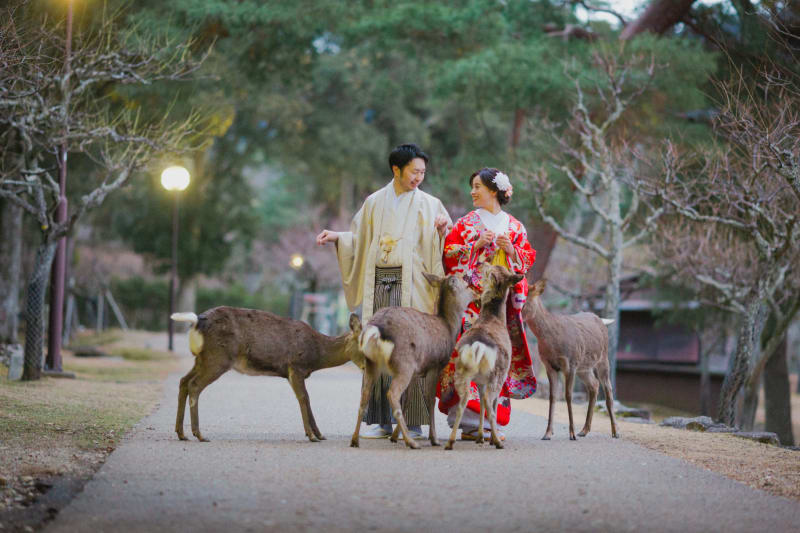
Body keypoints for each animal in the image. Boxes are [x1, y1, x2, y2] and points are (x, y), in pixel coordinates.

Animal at [173, 306, 364, 442]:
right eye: (363, 343)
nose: (366, 365)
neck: (316, 354)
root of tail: (198, 320)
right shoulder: (295, 366)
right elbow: (304, 398)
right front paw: (311, 435)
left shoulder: (294, 372)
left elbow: (307, 399)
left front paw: (319, 434)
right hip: (218, 357)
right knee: (194, 385)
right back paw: (199, 435)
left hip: (202, 358)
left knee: (183, 381)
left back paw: (181, 433)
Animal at [350, 270, 476, 448]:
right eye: (465, 284)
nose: (475, 293)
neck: (448, 327)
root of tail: (376, 329)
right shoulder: (434, 365)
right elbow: (430, 401)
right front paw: (434, 439)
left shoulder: (417, 372)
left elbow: (408, 400)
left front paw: (395, 436)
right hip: (404, 363)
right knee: (392, 393)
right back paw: (411, 442)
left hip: (372, 363)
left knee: (364, 395)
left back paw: (355, 440)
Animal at [446, 264, 520, 448]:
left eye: (492, 267)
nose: (481, 264)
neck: (495, 319)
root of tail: (477, 346)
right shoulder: (499, 377)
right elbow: (491, 404)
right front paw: (489, 438)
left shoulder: (480, 381)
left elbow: (479, 404)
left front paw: (480, 436)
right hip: (497, 374)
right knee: (489, 401)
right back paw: (498, 442)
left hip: (462, 372)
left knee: (464, 402)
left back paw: (450, 442)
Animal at [520, 278, 620, 440]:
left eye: (523, 301)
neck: (551, 341)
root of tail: (601, 320)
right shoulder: (549, 366)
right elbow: (553, 396)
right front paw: (547, 433)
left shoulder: (571, 363)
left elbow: (568, 395)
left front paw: (571, 433)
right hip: (584, 367)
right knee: (594, 385)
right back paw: (584, 430)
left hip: (603, 359)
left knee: (608, 390)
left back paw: (615, 431)